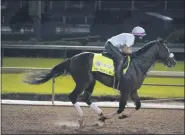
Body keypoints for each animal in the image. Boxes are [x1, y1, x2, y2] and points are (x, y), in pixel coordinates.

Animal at [23, 38, 176, 124]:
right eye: (166, 49)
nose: (173, 62)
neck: (137, 65)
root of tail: (72, 59)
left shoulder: (133, 90)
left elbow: (138, 105)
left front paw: (120, 116)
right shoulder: (125, 90)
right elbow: (120, 108)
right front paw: (107, 118)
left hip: (91, 81)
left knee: (86, 97)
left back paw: (100, 113)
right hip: (83, 81)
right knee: (73, 96)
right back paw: (83, 118)